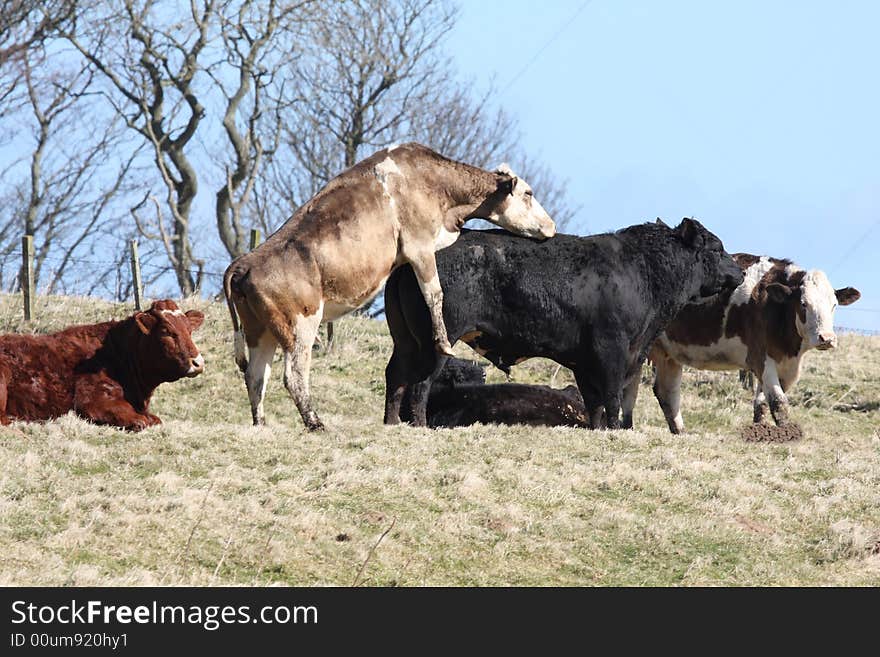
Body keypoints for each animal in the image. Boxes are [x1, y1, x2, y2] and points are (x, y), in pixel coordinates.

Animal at [0, 298, 205, 430]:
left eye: (189, 329)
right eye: (166, 331)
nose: (198, 362)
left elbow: (155, 419)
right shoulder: (95, 402)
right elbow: (143, 421)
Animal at [223, 142, 552, 430]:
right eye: (528, 193)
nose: (550, 226)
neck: (434, 183)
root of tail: (245, 262)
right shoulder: (419, 246)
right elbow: (434, 293)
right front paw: (442, 341)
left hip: (260, 331)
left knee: (255, 376)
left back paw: (261, 424)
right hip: (300, 324)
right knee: (293, 375)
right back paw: (315, 423)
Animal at [384, 218, 744, 428]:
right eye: (717, 247)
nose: (739, 272)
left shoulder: (585, 360)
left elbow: (594, 402)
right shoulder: (611, 351)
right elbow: (611, 398)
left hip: (405, 341)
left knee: (395, 377)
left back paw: (391, 422)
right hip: (438, 340)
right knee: (420, 384)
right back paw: (418, 425)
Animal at [636, 254, 864, 434]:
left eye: (834, 305)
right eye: (803, 304)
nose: (827, 338)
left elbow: (762, 403)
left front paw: (760, 431)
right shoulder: (760, 358)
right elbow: (779, 403)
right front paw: (787, 433)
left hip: (669, 353)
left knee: (667, 391)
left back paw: (680, 431)